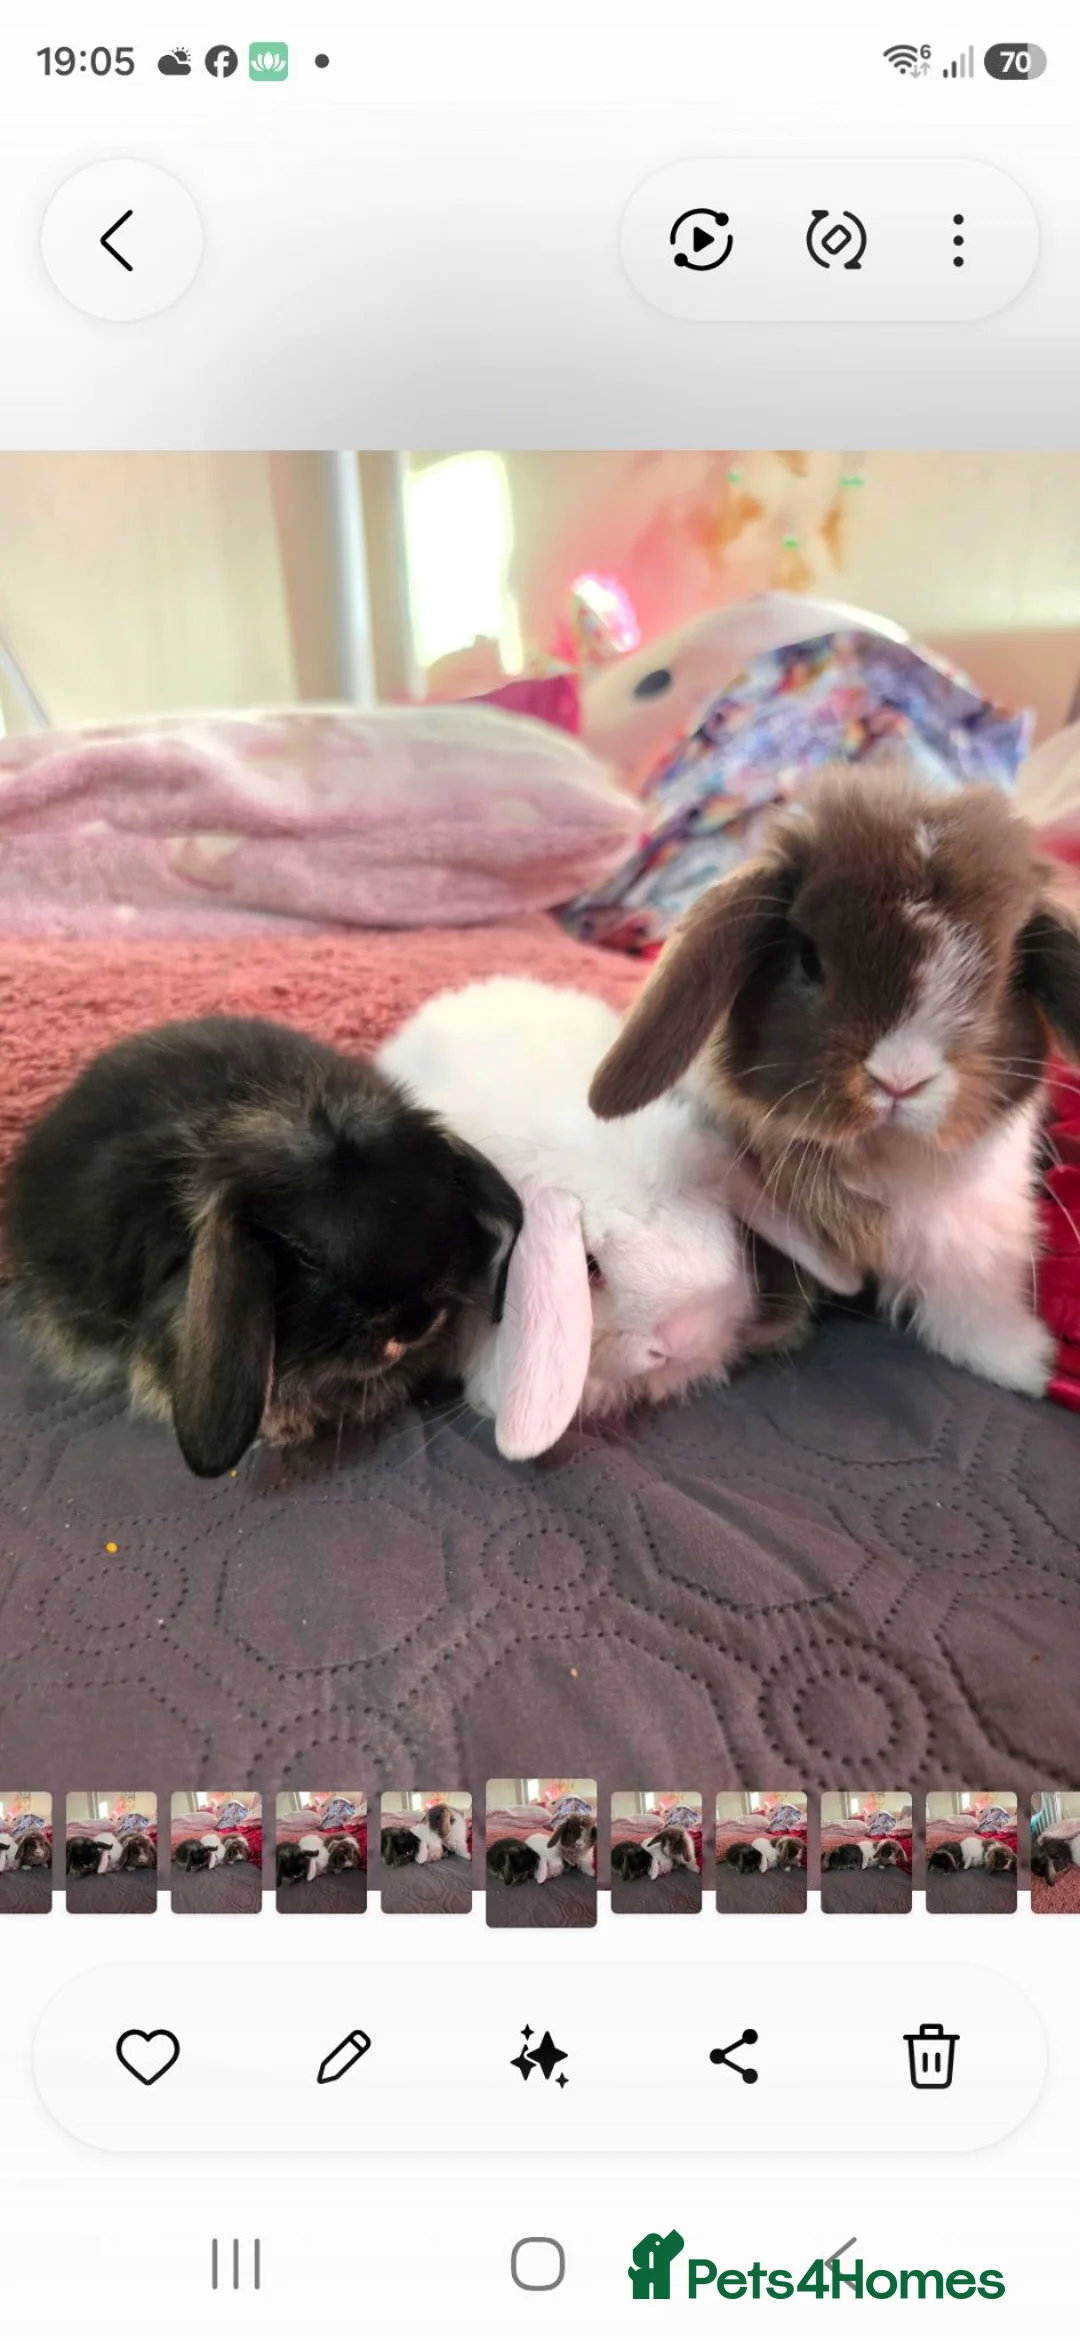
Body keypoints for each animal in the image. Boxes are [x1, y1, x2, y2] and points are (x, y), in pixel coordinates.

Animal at [589, 766, 1080, 1399]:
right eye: (810, 961)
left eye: (1003, 979)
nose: (900, 1080)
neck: (876, 1150)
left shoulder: (973, 1234)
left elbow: (969, 1306)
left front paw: (1021, 1365)